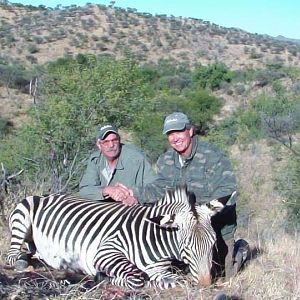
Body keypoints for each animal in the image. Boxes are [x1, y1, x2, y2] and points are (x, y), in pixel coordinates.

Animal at [5, 186, 233, 290]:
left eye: (213, 244)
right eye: (185, 246)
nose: (206, 284)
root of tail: (47, 194)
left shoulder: (159, 269)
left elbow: (175, 280)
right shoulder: (106, 252)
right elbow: (137, 278)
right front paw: (102, 278)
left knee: (31, 253)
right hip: (22, 219)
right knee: (12, 255)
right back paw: (21, 263)